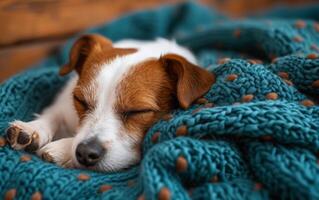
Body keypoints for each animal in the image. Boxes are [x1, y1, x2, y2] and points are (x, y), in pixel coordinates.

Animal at [5, 34, 215, 172]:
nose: (85, 153)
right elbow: (53, 114)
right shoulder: (64, 103)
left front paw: (62, 149)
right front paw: (33, 129)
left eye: (138, 111)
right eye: (80, 101)